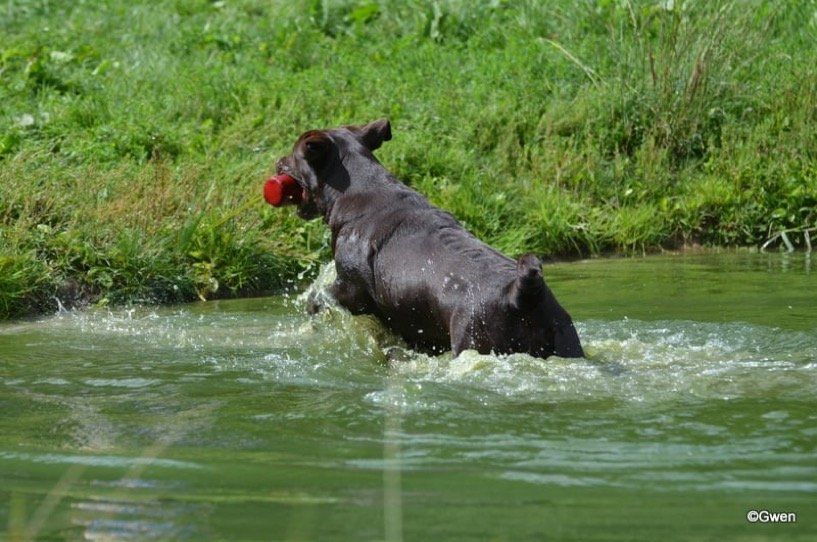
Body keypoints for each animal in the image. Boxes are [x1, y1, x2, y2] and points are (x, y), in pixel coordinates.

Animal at [275, 119, 584, 359]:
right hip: (565, 338)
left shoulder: (352, 288)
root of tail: (521, 294)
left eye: (292, 155)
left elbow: (318, 297)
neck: (357, 188)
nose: (277, 162)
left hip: (475, 338)